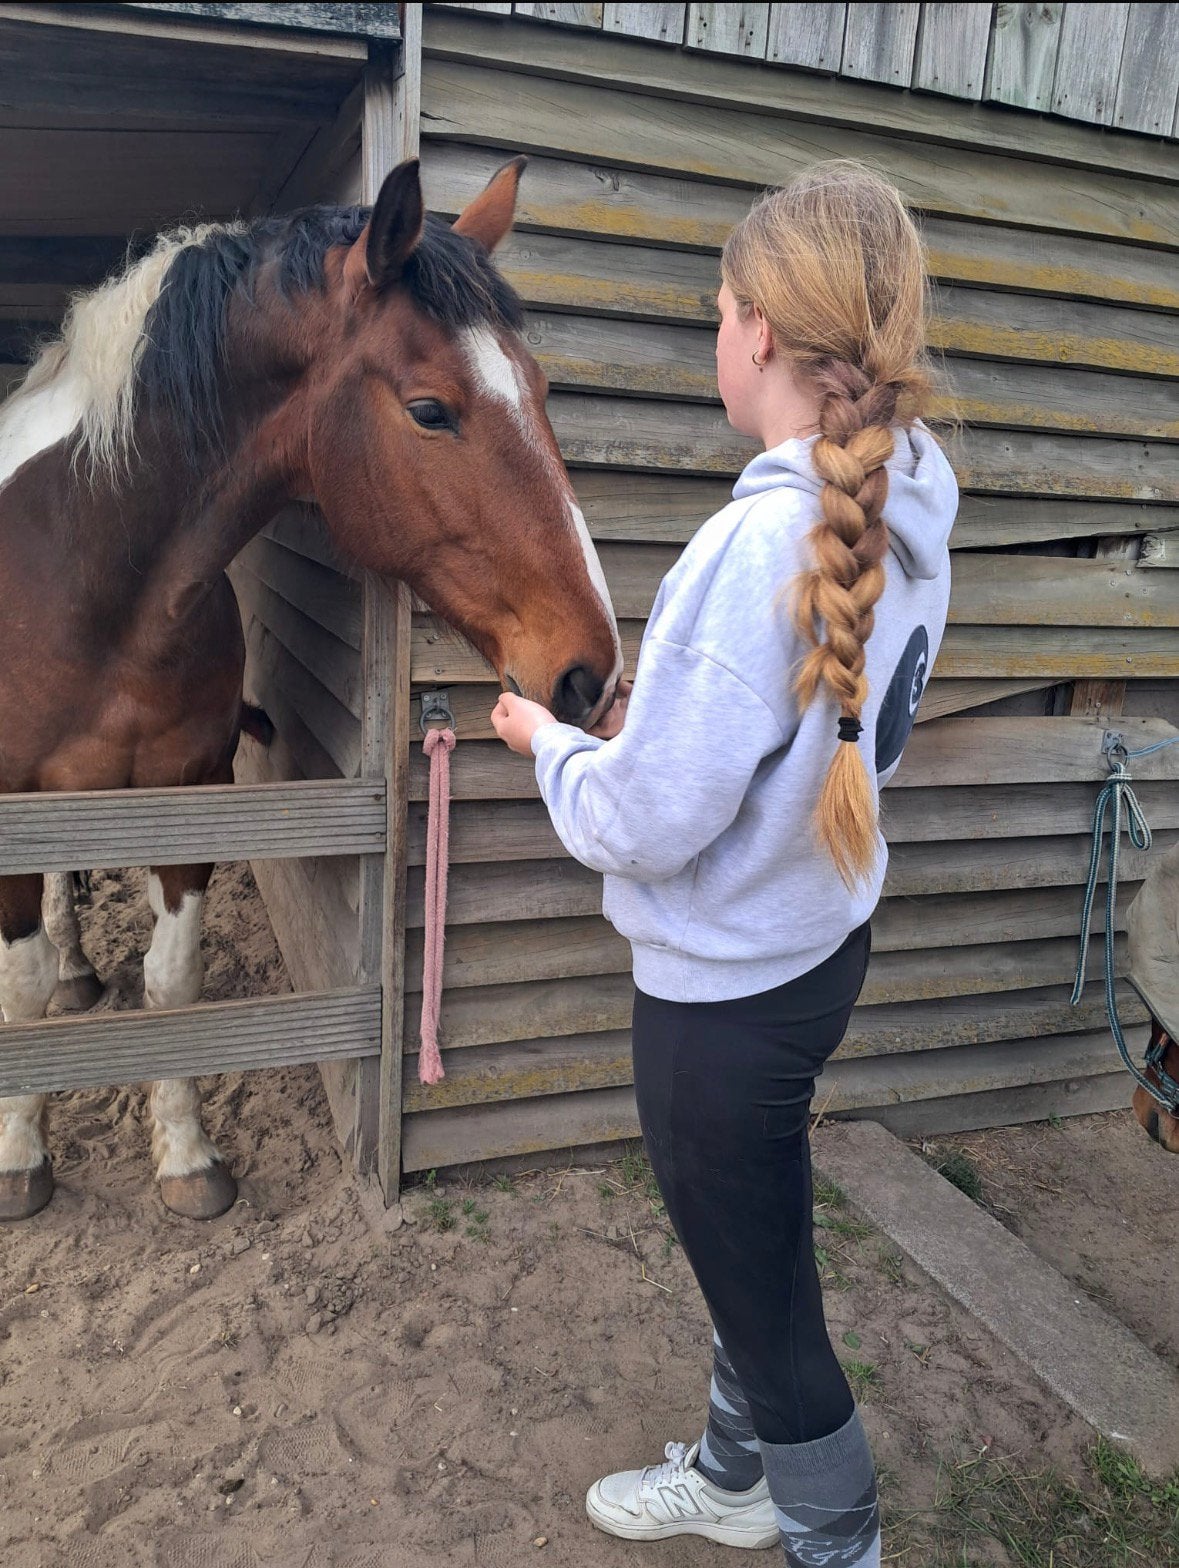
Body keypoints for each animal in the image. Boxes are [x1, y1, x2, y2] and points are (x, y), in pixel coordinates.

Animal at [0, 156, 622, 1223]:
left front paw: (187, 1159)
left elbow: (173, 983)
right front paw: (19, 1157)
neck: (78, 565)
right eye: (429, 409)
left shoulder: (189, 795)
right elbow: (21, 990)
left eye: (539, 389)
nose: (594, 668)